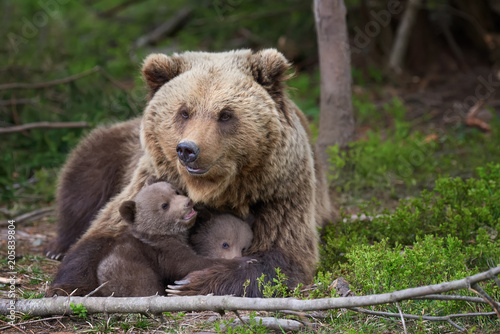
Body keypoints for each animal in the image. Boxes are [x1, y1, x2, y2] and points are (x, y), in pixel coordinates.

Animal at [47, 49, 332, 298]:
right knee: (82, 183)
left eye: (226, 114)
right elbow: (100, 235)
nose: (188, 149)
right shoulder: (151, 177)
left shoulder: (279, 191)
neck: (216, 188)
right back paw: (57, 247)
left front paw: (191, 284)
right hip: (113, 150)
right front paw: (68, 287)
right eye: (184, 112)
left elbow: (282, 256)